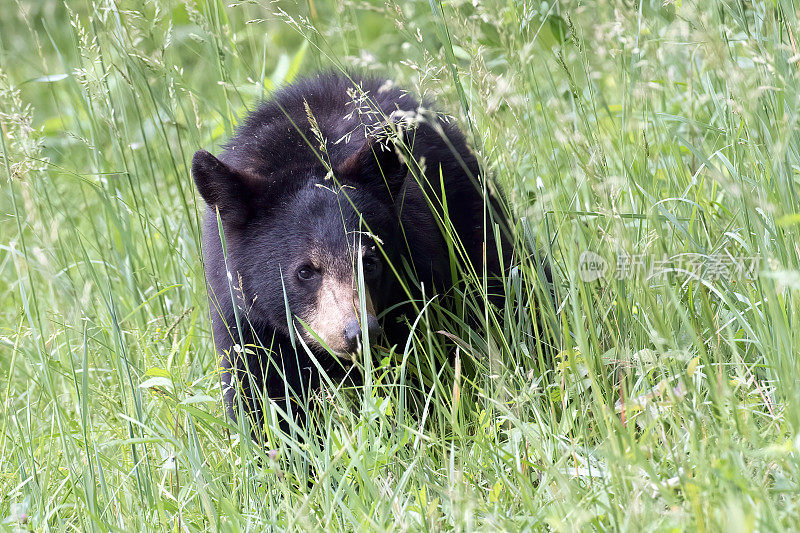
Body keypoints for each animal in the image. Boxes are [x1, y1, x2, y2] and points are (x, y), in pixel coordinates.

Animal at [195, 71, 512, 436]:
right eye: (305, 271)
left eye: (370, 261)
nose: (359, 333)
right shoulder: (243, 315)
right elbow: (261, 392)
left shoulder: (417, 281)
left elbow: (415, 368)